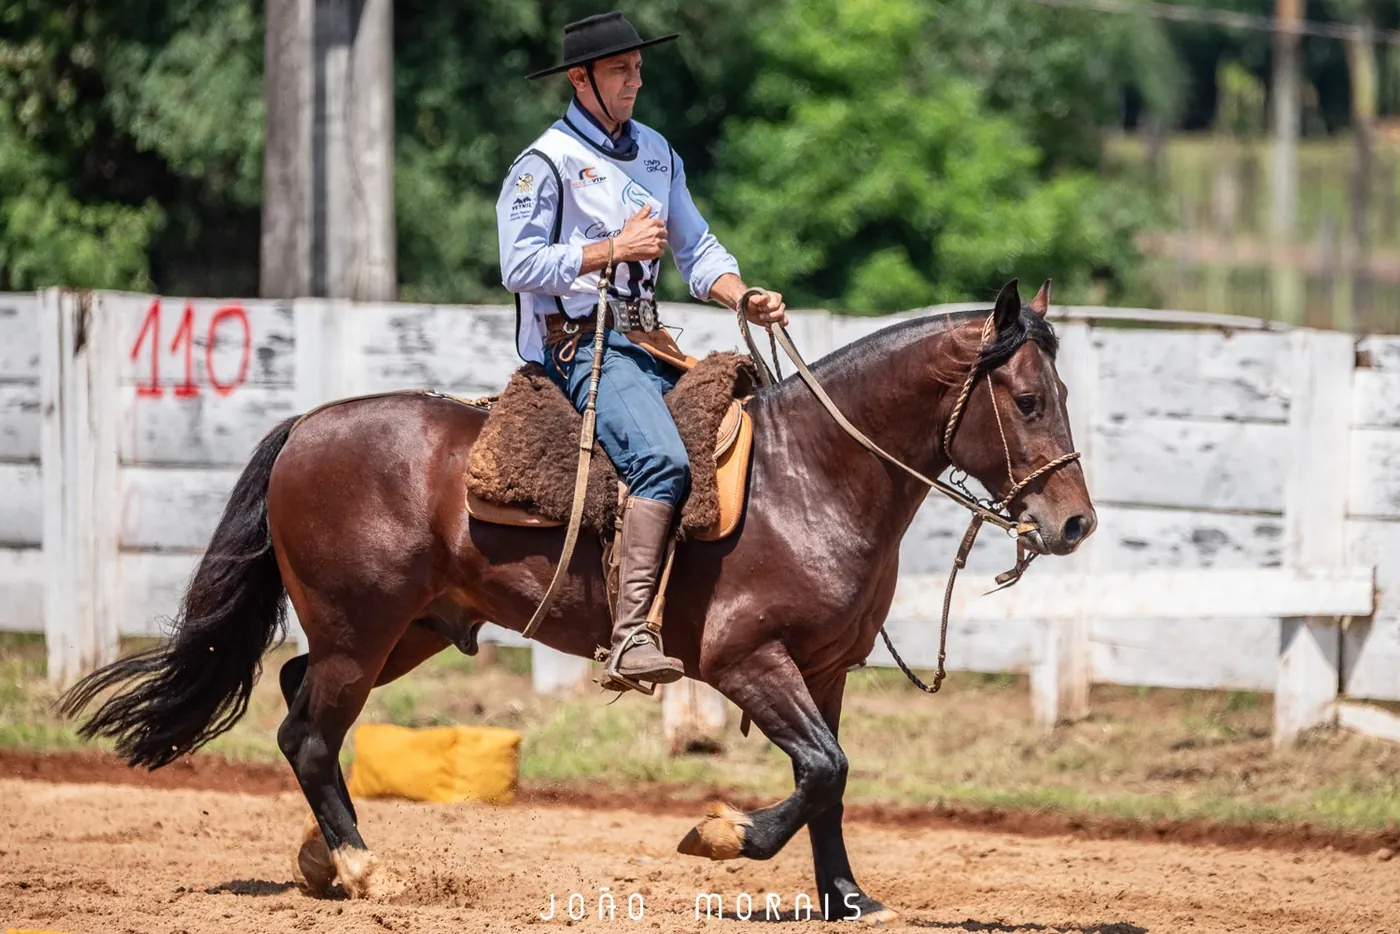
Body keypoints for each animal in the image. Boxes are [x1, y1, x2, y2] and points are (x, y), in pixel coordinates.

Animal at [59, 278, 1095, 923]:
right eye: (1028, 400)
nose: (1075, 521)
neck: (811, 475)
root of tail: (308, 425)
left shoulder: (825, 672)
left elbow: (830, 780)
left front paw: (846, 899)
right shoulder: (745, 661)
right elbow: (821, 772)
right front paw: (719, 834)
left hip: (404, 633)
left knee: (294, 704)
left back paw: (323, 861)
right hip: (363, 630)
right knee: (310, 733)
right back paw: (360, 866)